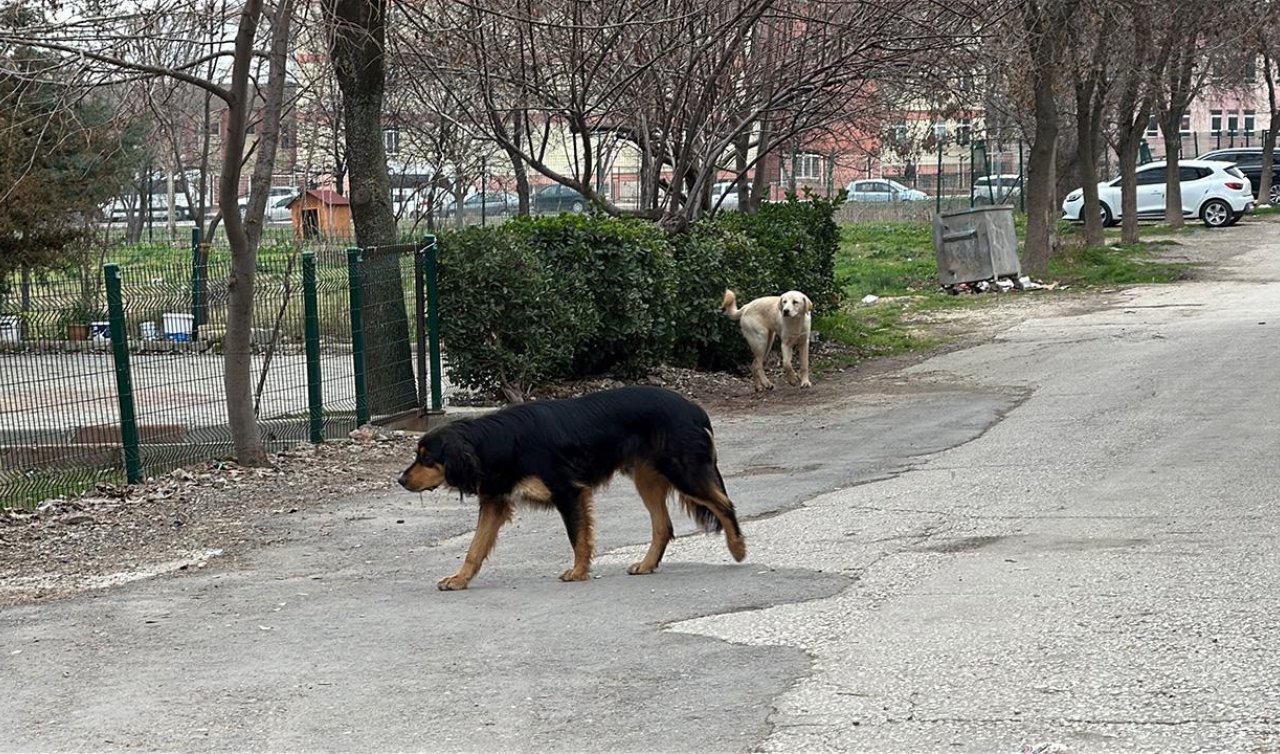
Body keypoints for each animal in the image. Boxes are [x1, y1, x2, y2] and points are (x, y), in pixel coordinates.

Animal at [394, 389, 747, 588]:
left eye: (427, 458)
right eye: (418, 455)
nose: (401, 480)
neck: (499, 441)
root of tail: (694, 408)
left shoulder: (568, 491)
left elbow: (578, 537)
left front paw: (578, 572)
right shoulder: (495, 501)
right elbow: (474, 549)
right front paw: (459, 579)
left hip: (682, 471)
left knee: (724, 504)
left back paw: (738, 549)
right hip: (647, 477)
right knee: (664, 526)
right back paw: (647, 565)